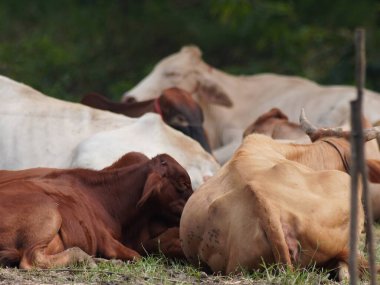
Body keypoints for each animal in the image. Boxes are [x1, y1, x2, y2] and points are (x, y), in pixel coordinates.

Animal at [0, 152, 191, 268]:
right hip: (49, 212)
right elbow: (137, 256)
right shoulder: (106, 241)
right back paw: (86, 259)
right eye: (182, 183)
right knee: (31, 259)